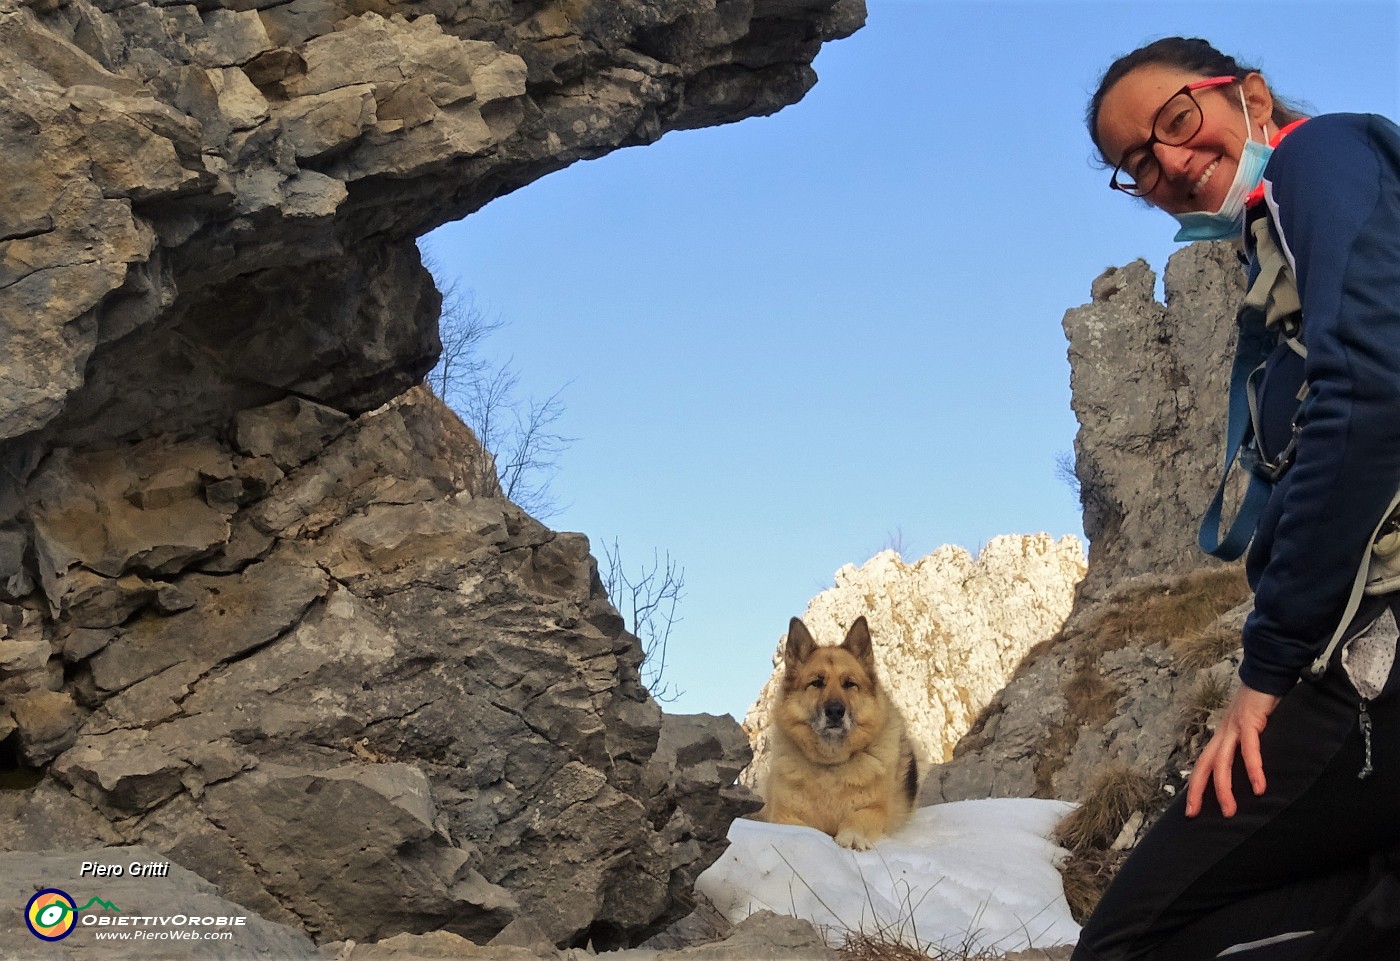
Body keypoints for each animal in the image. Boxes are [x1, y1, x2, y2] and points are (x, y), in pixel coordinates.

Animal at [756, 616, 918, 851]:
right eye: (816, 682)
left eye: (849, 683)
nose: (835, 711)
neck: (831, 766)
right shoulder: (784, 815)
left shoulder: (876, 810)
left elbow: (858, 819)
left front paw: (852, 836)